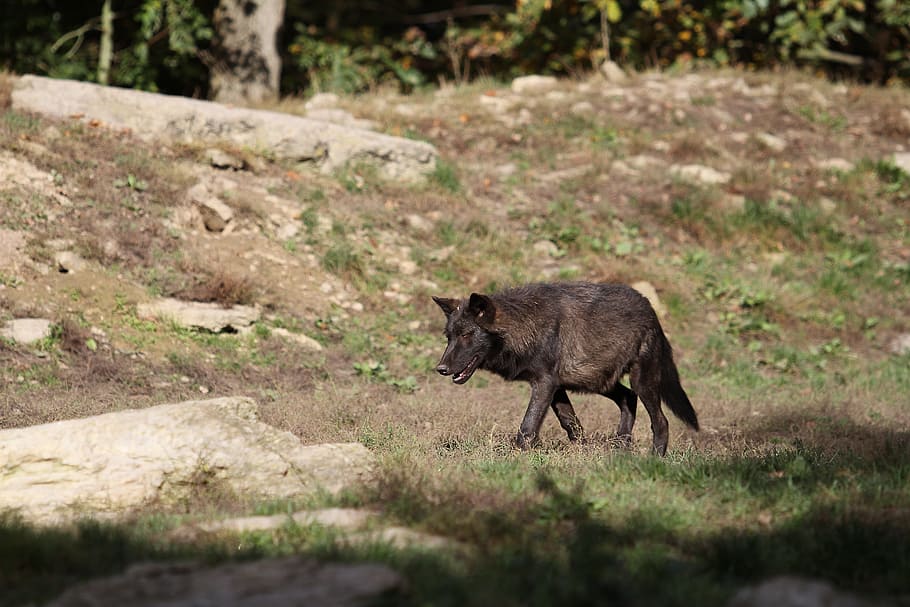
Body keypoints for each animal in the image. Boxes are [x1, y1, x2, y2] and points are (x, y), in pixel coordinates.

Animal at [432, 282, 698, 455]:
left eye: (467, 335)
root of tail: (650, 308)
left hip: (640, 382)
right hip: (599, 382)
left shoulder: (545, 384)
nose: (441, 368)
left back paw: (654, 458)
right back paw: (620, 447)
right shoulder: (556, 387)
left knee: (661, 421)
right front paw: (581, 451)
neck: (525, 325)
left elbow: (528, 426)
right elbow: (571, 423)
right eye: (449, 337)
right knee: (628, 399)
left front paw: (516, 457)